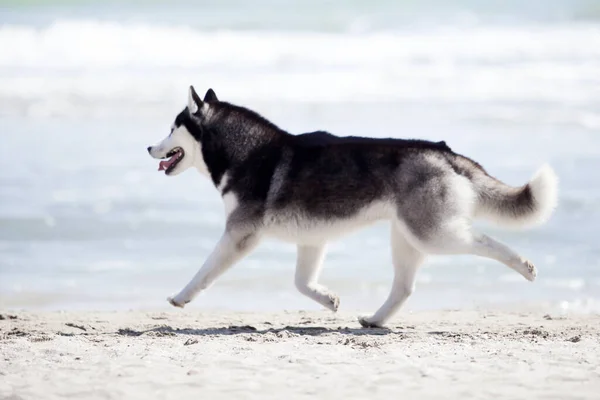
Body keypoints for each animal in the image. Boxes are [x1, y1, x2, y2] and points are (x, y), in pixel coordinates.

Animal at [148, 86, 560, 326]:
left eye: (171, 128)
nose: (149, 147)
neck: (247, 152)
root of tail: (445, 151)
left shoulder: (240, 234)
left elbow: (204, 271)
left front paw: (181, 297)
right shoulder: (312, 239)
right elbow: (301, 283)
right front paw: (328, 300)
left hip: (434, 235)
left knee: (487, 242)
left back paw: (524, 265)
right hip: (407, 237)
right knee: (404, 288)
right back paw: (376, 319)